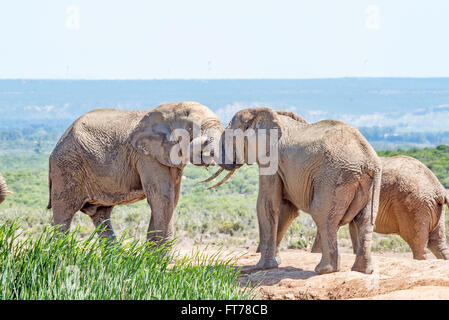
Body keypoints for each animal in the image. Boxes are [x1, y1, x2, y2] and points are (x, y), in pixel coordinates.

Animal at [48, 101, 223, 244]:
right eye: (190, 129)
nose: (206, 143)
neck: (171, 108)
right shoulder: (146, 156)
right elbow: (163, 199)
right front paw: (158, 261)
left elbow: (171, 200)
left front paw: (151, 258)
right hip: (66, 167)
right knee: (64, 213)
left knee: (101, 215)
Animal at [203, 109, 382, 274]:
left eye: (228, 137)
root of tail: (367, 161)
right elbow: (286, 209)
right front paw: (275, 263)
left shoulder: (271, 161)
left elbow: (266, 204)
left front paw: (261, 267)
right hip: (370, 182)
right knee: (365, 220)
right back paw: (362, 270)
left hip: (333, 177)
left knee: (323, 216)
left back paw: (324, 270)